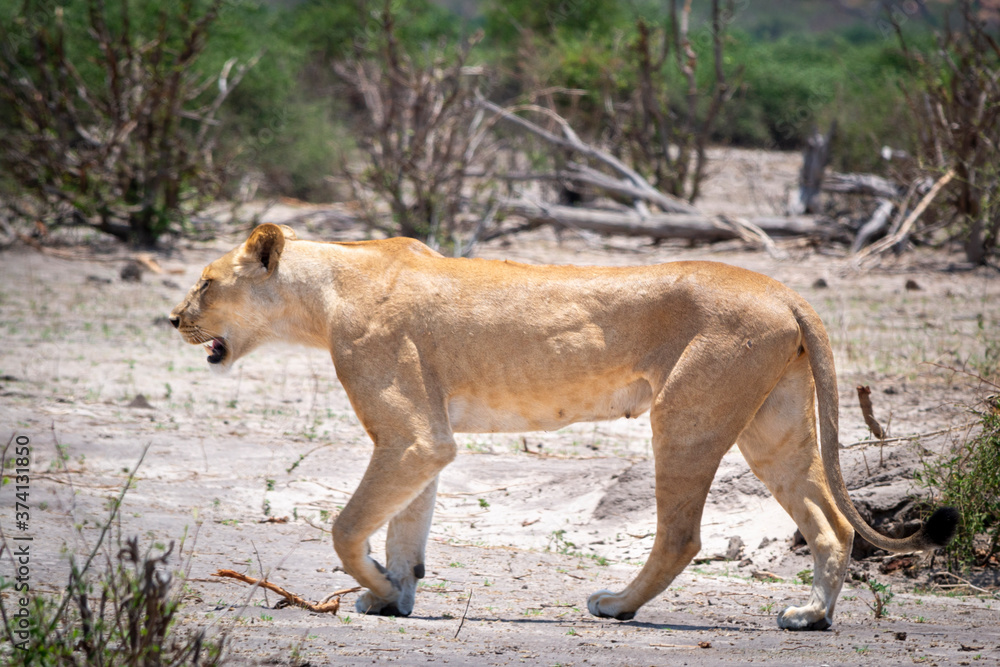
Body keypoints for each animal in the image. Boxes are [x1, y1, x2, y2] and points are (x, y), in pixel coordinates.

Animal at [169, 223, 956, 630]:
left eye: (205, 282)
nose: (173, 318)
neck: (326, 291)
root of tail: (784, 287)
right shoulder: (425, 440)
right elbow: (405, 526)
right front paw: (396, 594)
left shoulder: (414, 434)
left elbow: (347, 525)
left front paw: (381, 592)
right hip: (774, 427)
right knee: (833, 523)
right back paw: (811, 616)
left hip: (687, 413)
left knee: (681, 534)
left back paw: (616, 605)